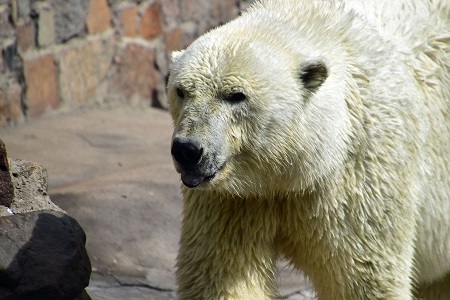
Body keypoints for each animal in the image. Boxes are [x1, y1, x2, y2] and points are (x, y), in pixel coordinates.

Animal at [167, 1, 450, 298]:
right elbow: (221, 271)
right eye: (181, 90)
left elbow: (364, 276)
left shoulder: (360, 179)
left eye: (235, 95)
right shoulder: (235, 198)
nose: (187, 150)